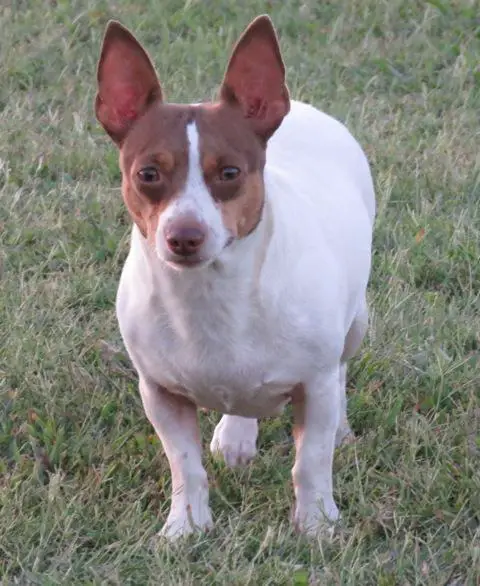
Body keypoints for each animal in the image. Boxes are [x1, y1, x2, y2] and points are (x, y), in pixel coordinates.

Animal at [94, 13, 376, 540]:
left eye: (229, 173)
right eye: (147, 174)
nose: (184, 235)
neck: (211, 296)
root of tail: (300, 107)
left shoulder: (315, 385)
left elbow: (311, 461)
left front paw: (316, 526)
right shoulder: (159, 393)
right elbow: (185, 465)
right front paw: (185, 527)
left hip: (356, 324)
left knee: (342, 372)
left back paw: (340, 430)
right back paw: (236, 435)